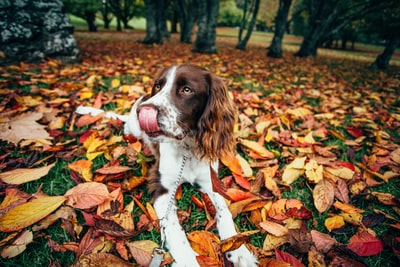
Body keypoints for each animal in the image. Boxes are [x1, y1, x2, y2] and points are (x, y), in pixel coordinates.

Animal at [123, 65, 258, 267]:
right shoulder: (162, 188)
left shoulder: (210, 181)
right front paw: (188, 260)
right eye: (157, 86)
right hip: (133, 126)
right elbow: (174, 229)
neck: (187, 149)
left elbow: (224, 212)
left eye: (187, 90)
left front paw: (239, 250)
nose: (144, 111)